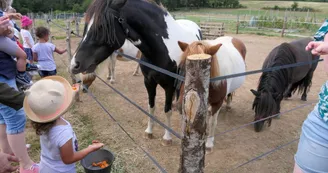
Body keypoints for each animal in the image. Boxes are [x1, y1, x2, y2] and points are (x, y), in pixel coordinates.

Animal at [70, 0, 201, 145]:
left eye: (101, 26)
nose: (74, 64)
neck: (162, 49)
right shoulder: (149, 82)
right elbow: (151, 107)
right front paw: (149, 131)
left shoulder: (169, 85)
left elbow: (167, 110)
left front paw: (167, 137)